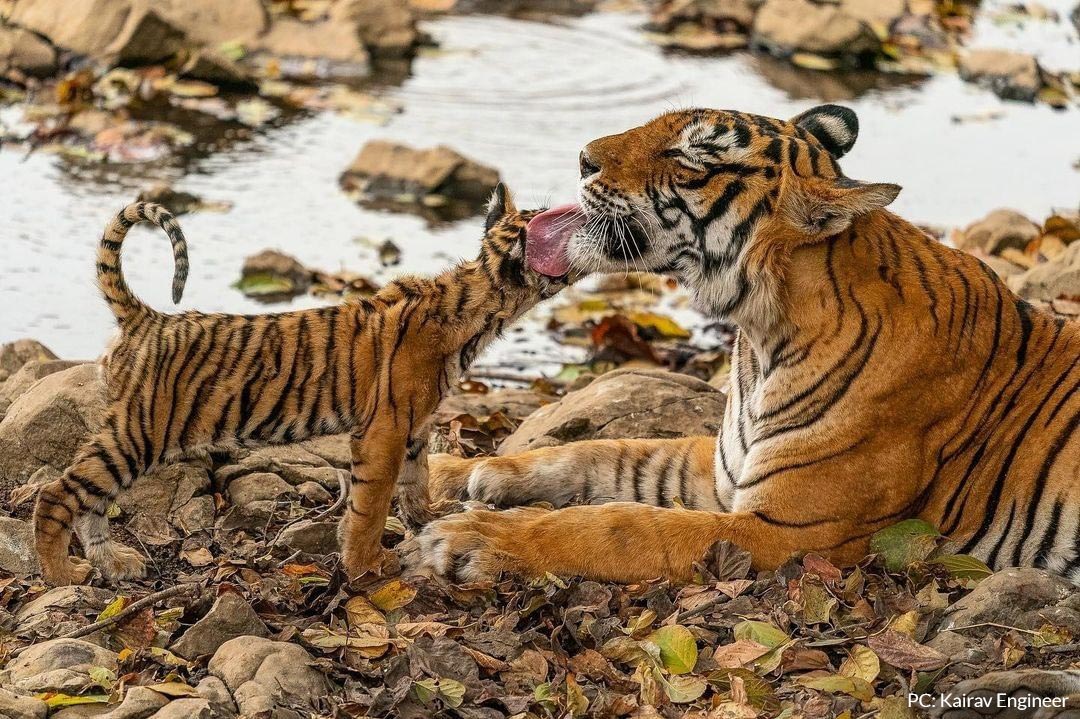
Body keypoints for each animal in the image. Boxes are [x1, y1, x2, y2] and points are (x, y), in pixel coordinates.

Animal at [412, 103, 1080, 587]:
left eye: (692, 155)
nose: (581, 159)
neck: (762, 337)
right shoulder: (720, 469)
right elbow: (601, 454)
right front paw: (456, 472)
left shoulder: (788, 527)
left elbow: (622, 526)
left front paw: (475, 539)